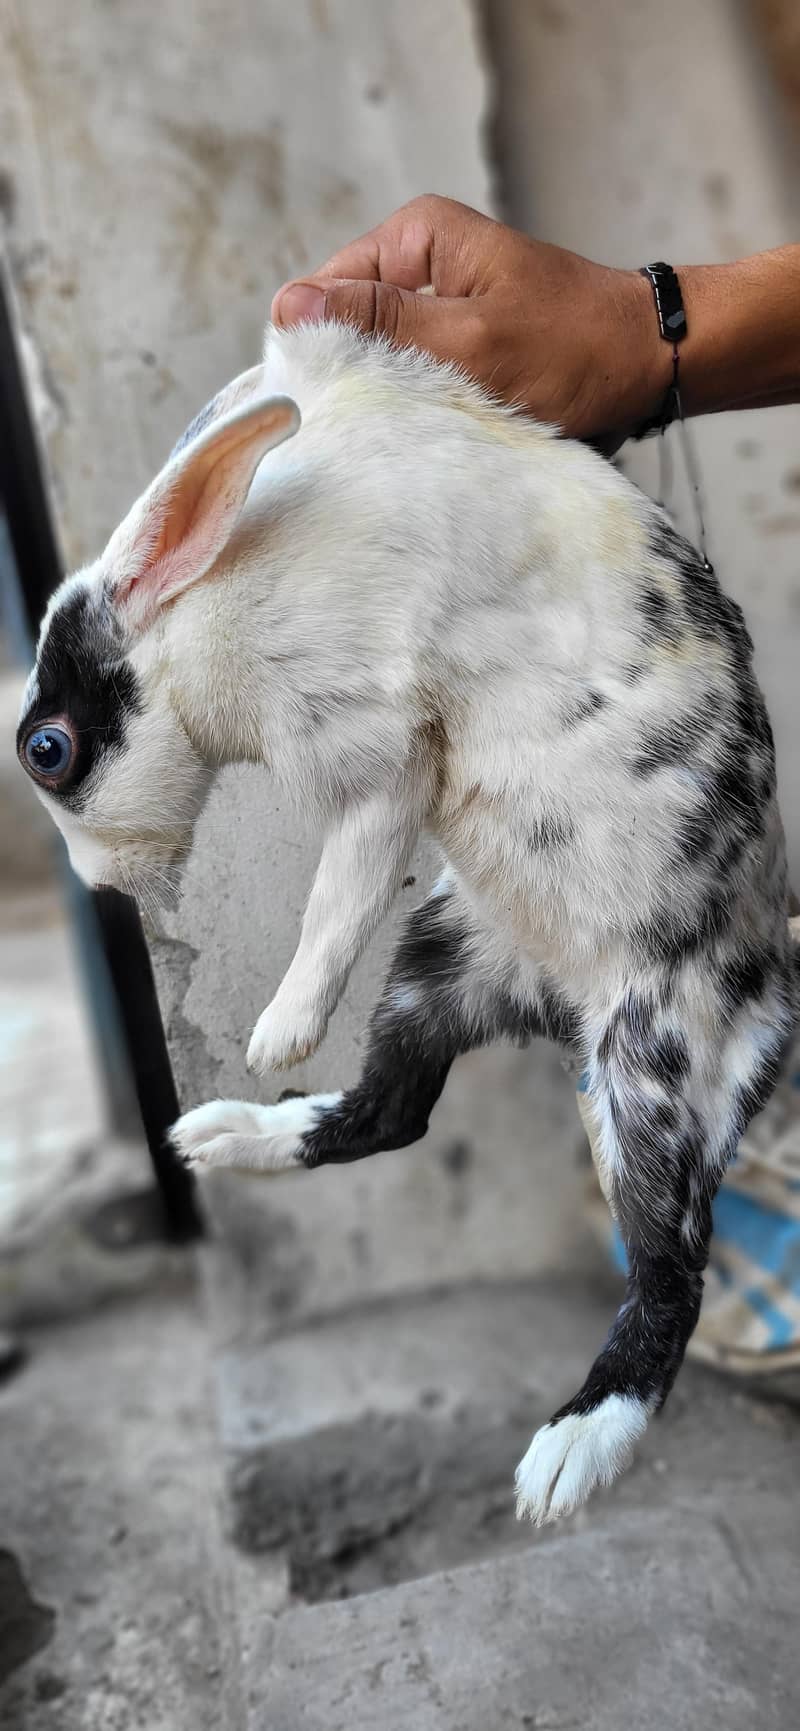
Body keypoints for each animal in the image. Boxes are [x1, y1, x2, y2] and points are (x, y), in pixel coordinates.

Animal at [17, 319, 797, 1526]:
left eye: (47, 749)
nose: (100, 889)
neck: (206, 602)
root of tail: (560, 1007)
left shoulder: (377, 754)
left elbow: (335, 894)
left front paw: (277, 1032)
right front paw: (262, 1073)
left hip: (653, 1068)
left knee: (670, 1273)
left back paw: (568, 1455)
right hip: (440, 953)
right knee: (390, 1111)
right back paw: (226, 1135)